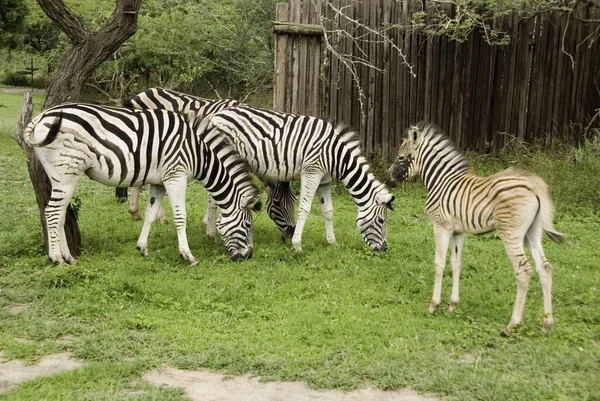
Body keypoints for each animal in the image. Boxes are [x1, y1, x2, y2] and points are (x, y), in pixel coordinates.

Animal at [24, 103, 260, 266]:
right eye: (248, 226)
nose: (248, 256)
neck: (199, 153)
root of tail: (42, 117)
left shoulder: (159, 182)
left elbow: (150, 214)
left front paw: (143, 249)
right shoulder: (175, 176)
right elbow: (180, 217)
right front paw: (188, 256)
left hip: (65, 176)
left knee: (61, 213)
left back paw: (68, 257)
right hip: (66, 172)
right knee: (53, 212)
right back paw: (56, 259)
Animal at [204, 104, 396, 252]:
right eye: (381, 220)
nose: (384, 249)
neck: (337, 156)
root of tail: (216, 116)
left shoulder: (325, 180)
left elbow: (328, 211)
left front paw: (332, 242)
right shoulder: (311, 173)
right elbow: (304, 209)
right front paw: (297, 245)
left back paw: (212, 234)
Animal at [386, 122, 564, 334]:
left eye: (401, 158)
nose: (387, 180)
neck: (441, 181)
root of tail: (534, 187)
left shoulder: (441, 226)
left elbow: (439, 263)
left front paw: (433, 305)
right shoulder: (457, 231)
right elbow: (456, 263)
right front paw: (452, 305)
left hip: (511, 234)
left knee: (524, 271)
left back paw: (511, 325)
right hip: (532, 234)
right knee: (544, 268)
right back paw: (547, 323)